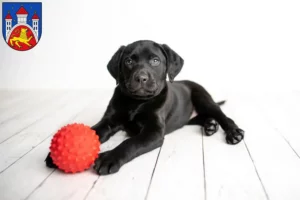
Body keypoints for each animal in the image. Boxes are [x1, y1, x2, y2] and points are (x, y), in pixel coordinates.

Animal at [46, 40, 244, 175]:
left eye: (155, 61)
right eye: (128, 61)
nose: (141, 78)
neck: (137, 102)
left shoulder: (153, 132)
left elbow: (130, 142)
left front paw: (109, 158)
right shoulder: (109, 120)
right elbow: (93, 130)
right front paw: (56, 155)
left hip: (203, 98)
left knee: (223, 116)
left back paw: (233, 133)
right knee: (202, 117)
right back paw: (210, 125)